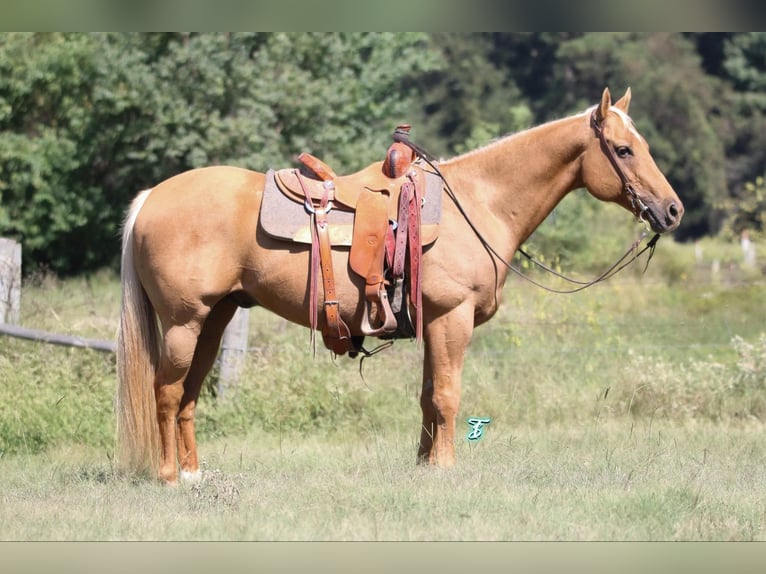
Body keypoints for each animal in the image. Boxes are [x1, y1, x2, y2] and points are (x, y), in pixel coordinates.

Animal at [118, 89, 684, 486]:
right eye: (623, 150)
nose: (673, 210)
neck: (478, 203)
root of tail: (151, 198)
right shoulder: (451, 318)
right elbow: (449, 395)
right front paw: (448, 467)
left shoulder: (433, 323)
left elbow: (429, 396)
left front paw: (425, 465)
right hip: (184, 322)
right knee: (167, 392)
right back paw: (168, 477)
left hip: (214, 319)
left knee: (189, 394)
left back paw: (193, 474)